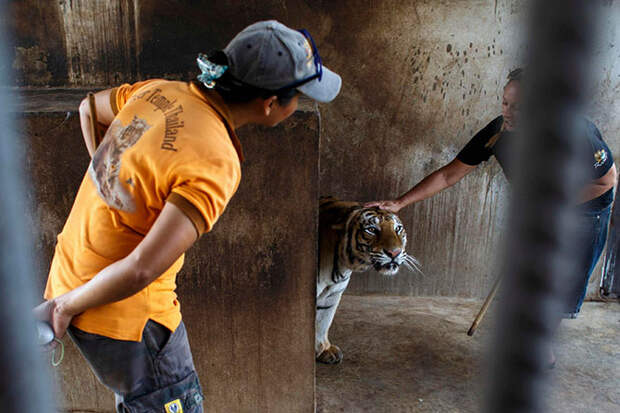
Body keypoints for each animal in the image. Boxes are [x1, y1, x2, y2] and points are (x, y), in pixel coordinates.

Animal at [314, 197, 422, 364]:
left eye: (398, 229)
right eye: (371, 229)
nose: (394, 253)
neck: (343, 262)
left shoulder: (332, 294)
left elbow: (323, 321)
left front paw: (324, 350)